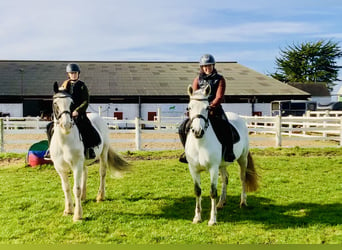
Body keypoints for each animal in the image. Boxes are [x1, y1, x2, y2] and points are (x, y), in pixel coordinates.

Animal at [48, 82, 127, 221]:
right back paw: (84, 197)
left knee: (102, 173)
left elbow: (76, 189)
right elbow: (66, 188)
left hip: (103, 153)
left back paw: (100, 196)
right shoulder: (60, 168)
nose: (66, 125)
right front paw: (68, 210)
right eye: (55, 103)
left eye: (71, 103)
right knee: (85, 172)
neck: (64, 141)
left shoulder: (76, 165)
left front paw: (78, 215)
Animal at [186, 85, 258, 226]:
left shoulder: (213, 168)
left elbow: (212, 192)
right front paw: (197, 218)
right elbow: (197, 191)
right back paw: (221, 203)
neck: (200, 144)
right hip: (222, 165)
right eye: (189, 107)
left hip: (242, 159)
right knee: (225, 178)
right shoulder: (193, 169)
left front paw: (212, 220)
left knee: (242, 178)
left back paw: (243, 202)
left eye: (207, 108)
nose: (197, 131)